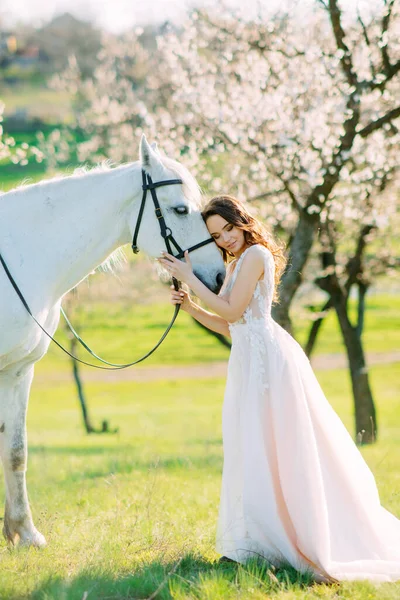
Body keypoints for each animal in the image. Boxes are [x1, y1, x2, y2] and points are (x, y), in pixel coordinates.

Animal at [0, 137, 225, 548]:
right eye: (181, 209)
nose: (219, 276)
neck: (23, 258)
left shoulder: (18, 372)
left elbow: (15, 450)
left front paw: (24, 533)